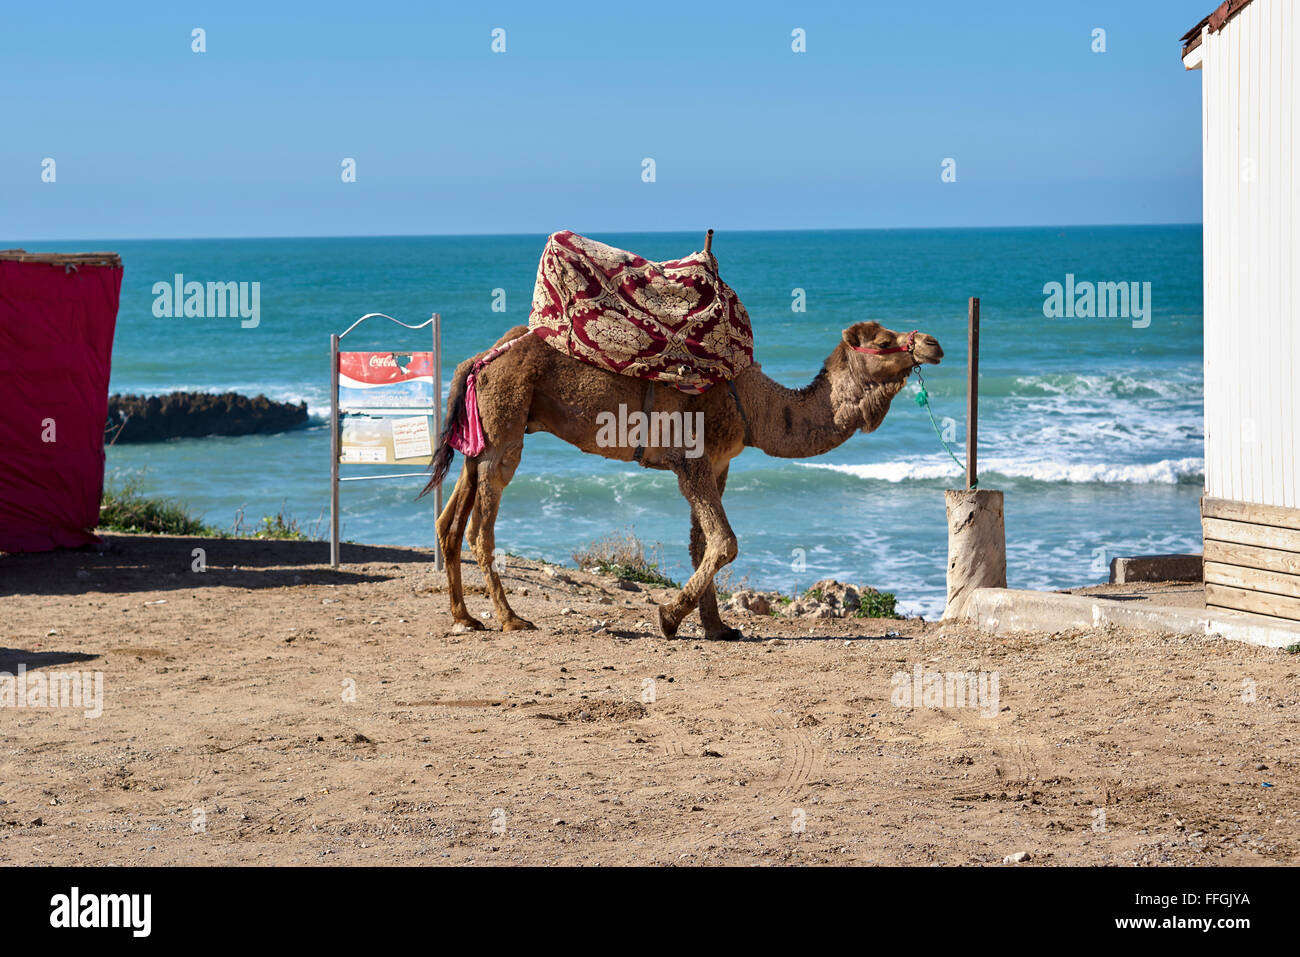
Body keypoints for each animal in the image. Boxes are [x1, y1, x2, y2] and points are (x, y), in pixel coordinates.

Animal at [426, 321, 946, 642]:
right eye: (884, 342)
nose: (932, 343)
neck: (753, 405)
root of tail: (478, 359)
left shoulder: (717, 464)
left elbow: (702, 544)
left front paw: (718, 628)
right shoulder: (692, 460)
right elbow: (726, 542)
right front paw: (669, 617)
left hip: (481, 437)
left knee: (449, 523)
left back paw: (464, 617)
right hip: (505, 425)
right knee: (479, 529)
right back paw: (511, 619)